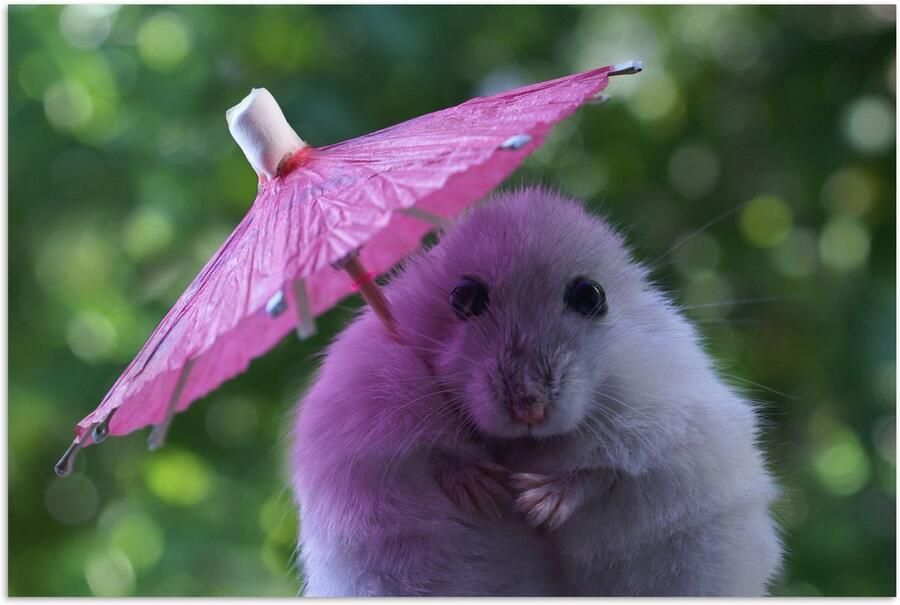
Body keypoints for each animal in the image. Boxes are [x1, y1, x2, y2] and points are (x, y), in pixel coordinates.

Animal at [289, 187, 782, 596]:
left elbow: (605, 468)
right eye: (463, 296)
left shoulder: (670, 410)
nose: (529, 409)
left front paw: (535, 504)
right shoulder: (364, 401)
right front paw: (488, 491)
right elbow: (432, 452)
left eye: (590, 295)